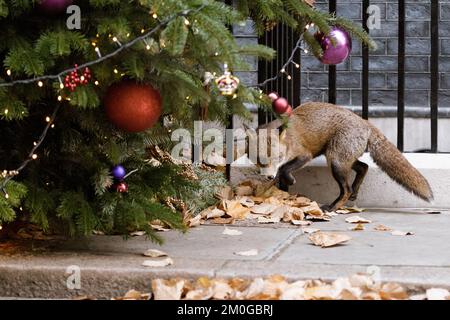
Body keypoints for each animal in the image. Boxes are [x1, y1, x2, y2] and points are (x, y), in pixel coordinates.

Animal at [258, 102, 434, 212]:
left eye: (278, 157)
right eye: (260, 160)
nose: (269, 176)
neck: (289, 139)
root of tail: (365, 122)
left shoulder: (304, 155)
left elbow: (284, 168)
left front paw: (288, 180)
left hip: (335, 161)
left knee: (346, 190)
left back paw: (333, 207)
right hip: (341, 158)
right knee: (364, 167)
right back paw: (355, 191)